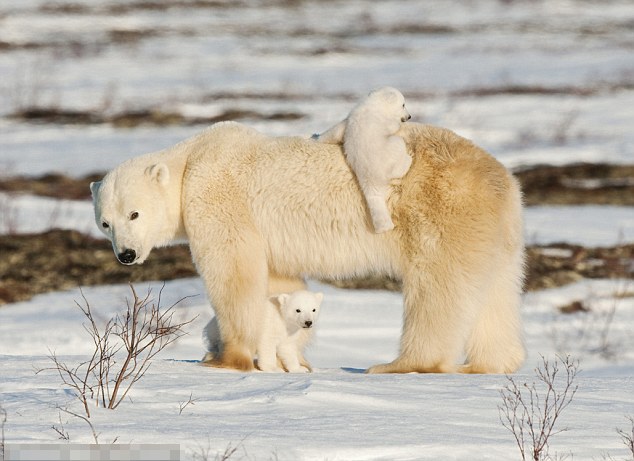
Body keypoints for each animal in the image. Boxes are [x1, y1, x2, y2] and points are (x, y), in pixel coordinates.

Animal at [89, 119, 524, 374]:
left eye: (134, 214)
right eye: (105, 222)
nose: (126, 254)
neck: (191, 161)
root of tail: (500, 177)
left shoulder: (217, 198)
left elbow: (234, 273)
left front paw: (224, 358)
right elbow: (278, 282)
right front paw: (289, 355)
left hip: (439, 210)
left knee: (438, 289)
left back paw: (400, 365)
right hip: (496, 229)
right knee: (495, 292)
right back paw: (489, 364)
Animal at [314, 86, 412, 232]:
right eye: (403, 104)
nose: (409, 116)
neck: (374, 104)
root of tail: (371, 182)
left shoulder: (350, 118)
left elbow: (337, 130)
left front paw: (316, 137)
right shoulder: (385, 121)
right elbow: (393, 126)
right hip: (393, 149)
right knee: (398, 155)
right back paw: (408, 160)